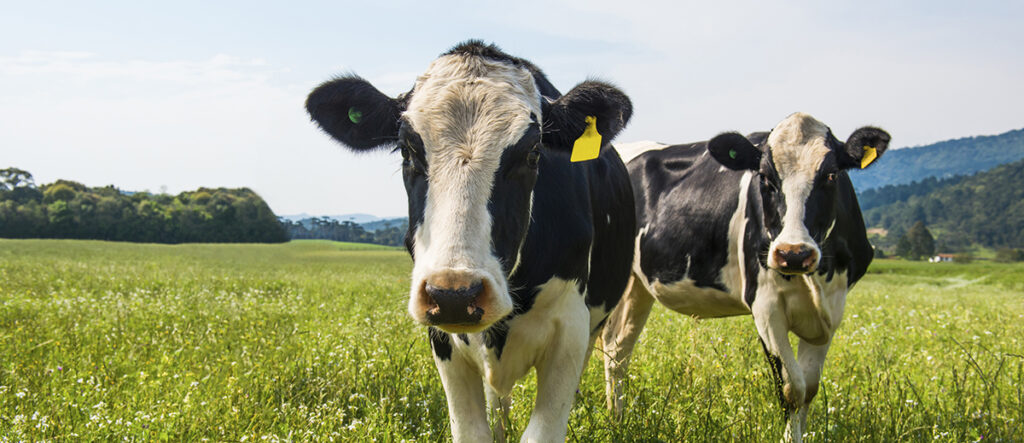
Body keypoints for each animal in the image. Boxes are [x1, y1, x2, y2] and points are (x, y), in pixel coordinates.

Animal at [307, 40, 634, 437]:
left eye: (534, 153)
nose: (454, 294)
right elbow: (472, 431)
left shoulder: (569, 326)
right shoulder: (443, 338)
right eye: (407, 150)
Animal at [598, 112, 888, 439]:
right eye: (765, 177)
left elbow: (810, 387)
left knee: (617, 347)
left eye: (831, 175)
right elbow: (792, 389)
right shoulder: (765, 306)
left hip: (637, 286)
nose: (793, 253)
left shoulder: (833, 307)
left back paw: (616, 422)